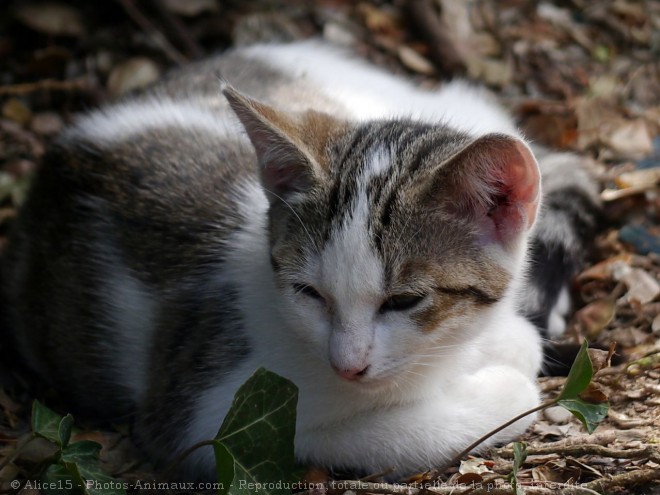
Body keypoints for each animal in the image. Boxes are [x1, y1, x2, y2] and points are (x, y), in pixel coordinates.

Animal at [0, 40, 600, 482]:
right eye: (308, 293)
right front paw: (503, 386)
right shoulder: (203, 416)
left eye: (405, 301)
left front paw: (505, 344)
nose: (348, 366)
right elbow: (373, 434)